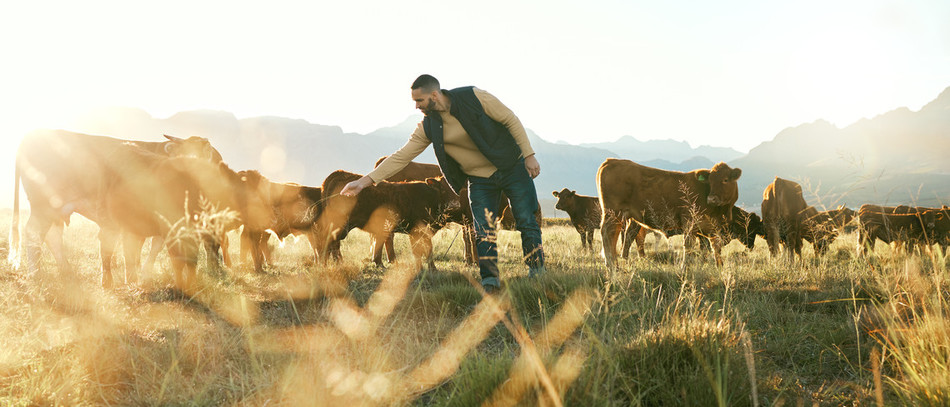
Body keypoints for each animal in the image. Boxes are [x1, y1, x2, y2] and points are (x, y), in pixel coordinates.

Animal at [12, 130, 224, 286]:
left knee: (52, 235)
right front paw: (139, 275)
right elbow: (150, 246)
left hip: (56, 208)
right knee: (34, 233)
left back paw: (66, 271)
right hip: (43, 204)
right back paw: (35, 274)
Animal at [596, 160, 744, 270]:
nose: (711, 199)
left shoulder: (713, 229)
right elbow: (688, 246)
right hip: (613, 212)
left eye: (725, 180)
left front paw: (720, 267)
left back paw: (618, 263)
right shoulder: (689, 222)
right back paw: (611, 265)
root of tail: (610, 161)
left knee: (621, 236)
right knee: (608, 233)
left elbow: (715, 249)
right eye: (711, 181)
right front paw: (685, 268)